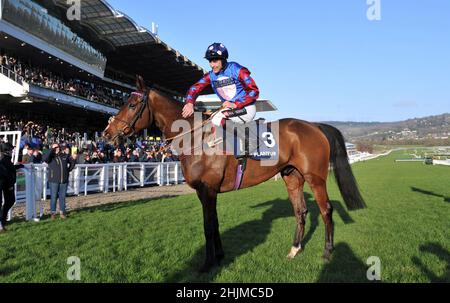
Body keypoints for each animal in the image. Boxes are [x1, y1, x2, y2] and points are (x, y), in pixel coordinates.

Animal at [104, 76, 366, 274]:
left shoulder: (208, 190)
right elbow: (214, 223)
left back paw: (328, 252)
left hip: (315, 177)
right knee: (300, 211)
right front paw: (220, 256)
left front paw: (207, 264)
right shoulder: (206, 192)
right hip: (292, 176)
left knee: (326, 210)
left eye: (132, 104)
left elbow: (208, 227)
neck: (195, 137)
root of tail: (315, 126)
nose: (107, 133)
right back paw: (294, 249)